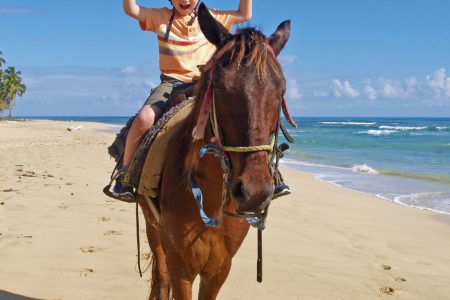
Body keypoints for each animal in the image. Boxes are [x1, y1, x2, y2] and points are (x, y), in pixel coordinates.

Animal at [138, 3, 292, 298]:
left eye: (281, 91)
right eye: (219, 87)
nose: (255, 192)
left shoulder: (219, 268)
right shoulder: (181, 266)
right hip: (153, 228)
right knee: (160, 278)